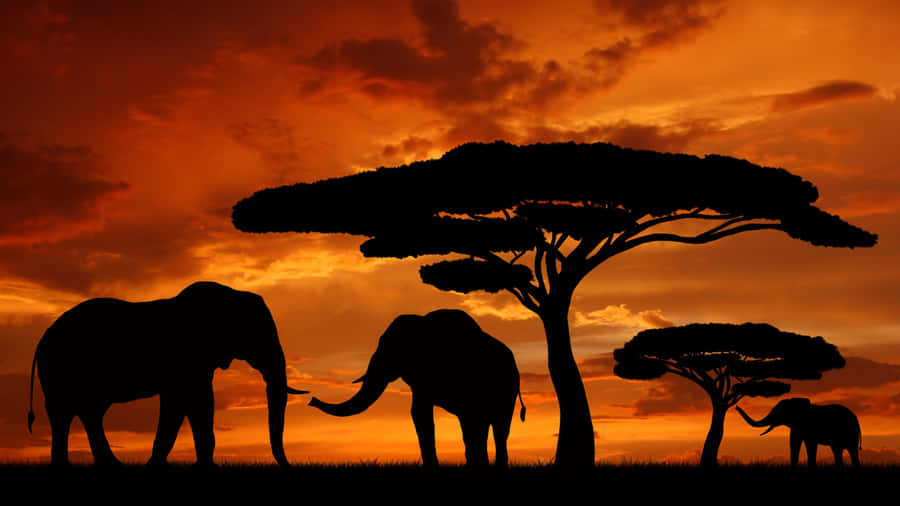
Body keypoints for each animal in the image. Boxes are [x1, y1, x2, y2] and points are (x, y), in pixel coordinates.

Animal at [27, 281, 308, 468]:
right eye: (259, 334)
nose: (288, 466)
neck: (230, 295)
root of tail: (43, 337)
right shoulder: (186, 357)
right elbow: (188, 401)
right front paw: (172, 467)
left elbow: (192, 402)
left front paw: (191, 467)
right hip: (60, 368)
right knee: (65, 411)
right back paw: (71, 467)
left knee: (89, 411)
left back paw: (109, 466)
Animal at [309, 309, 525, 468]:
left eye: (390, 347)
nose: (311, 400)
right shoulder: (422, 382)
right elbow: (419, 413)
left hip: (507, 389)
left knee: (497, 426)